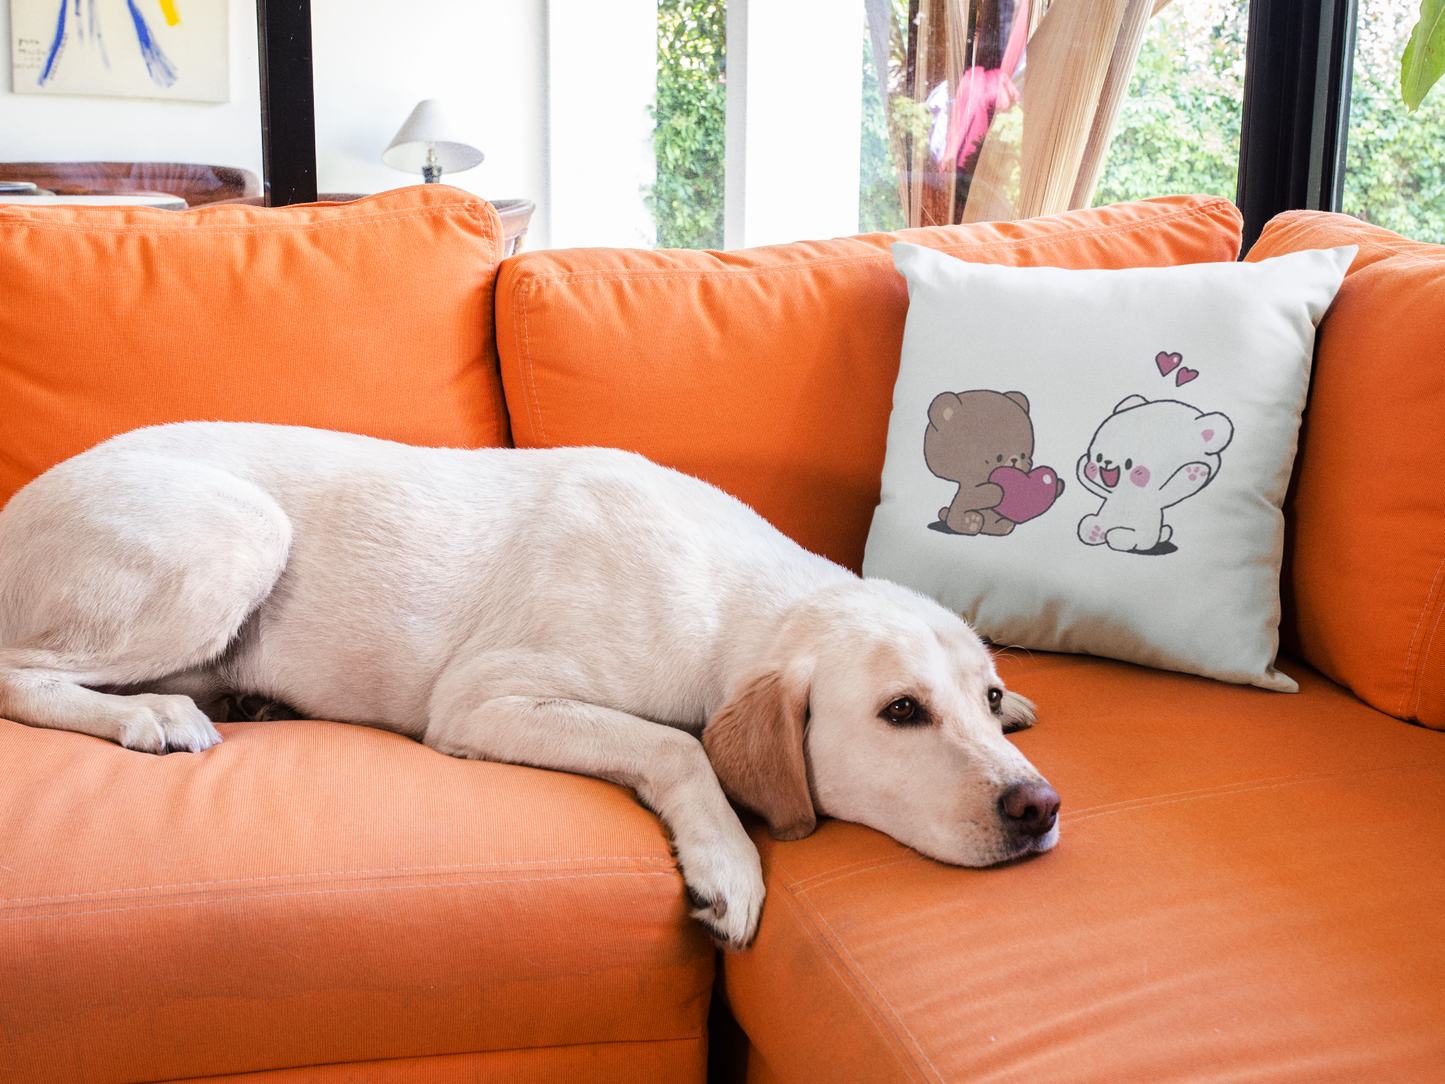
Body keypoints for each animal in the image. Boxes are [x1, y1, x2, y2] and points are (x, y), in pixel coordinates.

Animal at [924, 389, 1063, 536]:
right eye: (999, 457)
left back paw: (1003, 525)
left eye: (1023, 455)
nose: (1014, 459)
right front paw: (996, 490)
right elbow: (978, 495)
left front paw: (1058, 485)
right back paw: (972, 522)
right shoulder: (969, 490)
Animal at [1075, 394, 1234, 555]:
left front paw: (1194, 471)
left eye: (1129, 464)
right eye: (1099, 457)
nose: (1106, 462)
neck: (1128, 492)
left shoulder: (1158, 496)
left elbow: (1175, 488)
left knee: (1133, 539)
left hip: (1143, 534)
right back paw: (1094, 532)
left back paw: (1120, 536)